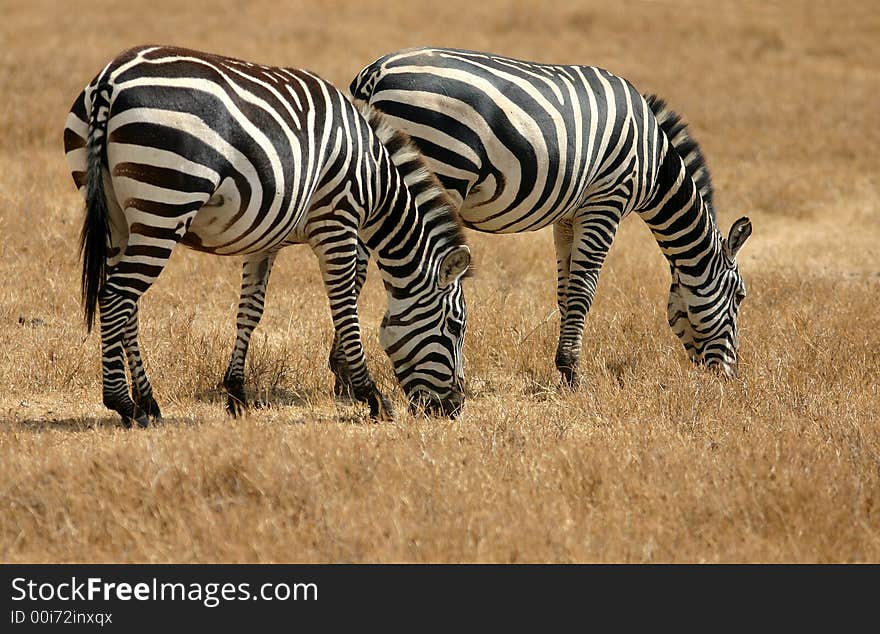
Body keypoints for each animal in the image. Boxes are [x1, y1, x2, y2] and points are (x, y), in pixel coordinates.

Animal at [62, 47, 470, 428]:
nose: (454, 408)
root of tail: (110, 80)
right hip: (165, 203)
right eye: (454, 326)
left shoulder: (266, 240)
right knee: (115, 296)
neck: (374, 179)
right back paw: (124, 404)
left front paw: (236, 394)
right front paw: (371, 396)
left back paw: (148, 402)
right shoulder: (337, 222)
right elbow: (345, 307)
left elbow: (250, 311)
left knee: (127, 303)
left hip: (118, 216)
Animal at [338, 47, 756, 386]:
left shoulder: (568, 216)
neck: (655, 164)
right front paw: (573, 374)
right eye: (739, 296)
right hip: (439, 167)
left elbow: (566, 290)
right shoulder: (606, 200)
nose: (730, 376)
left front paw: (564, 365)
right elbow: (585, 289)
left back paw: (344, 376)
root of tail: (374, 73)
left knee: (355, 268)